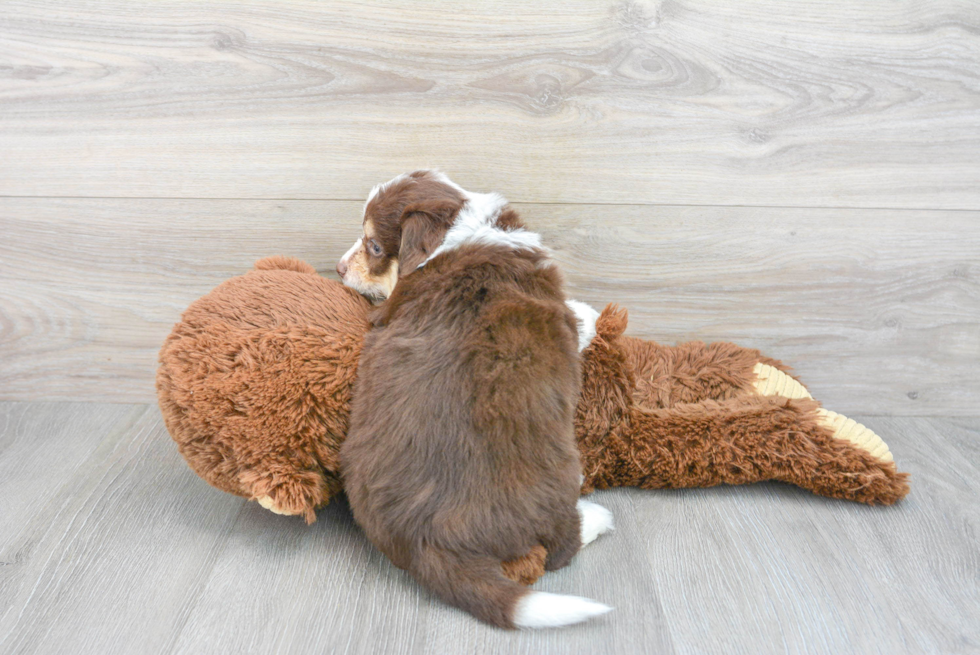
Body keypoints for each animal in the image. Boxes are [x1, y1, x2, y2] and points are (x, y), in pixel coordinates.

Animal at [336, 170, 612, 632]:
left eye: (373, 246)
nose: (338, 268)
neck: (455, 234)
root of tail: (428, 541)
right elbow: (580, 318)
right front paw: (593, 314)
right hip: (557, 480)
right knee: (560, 547)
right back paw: (596, 518)